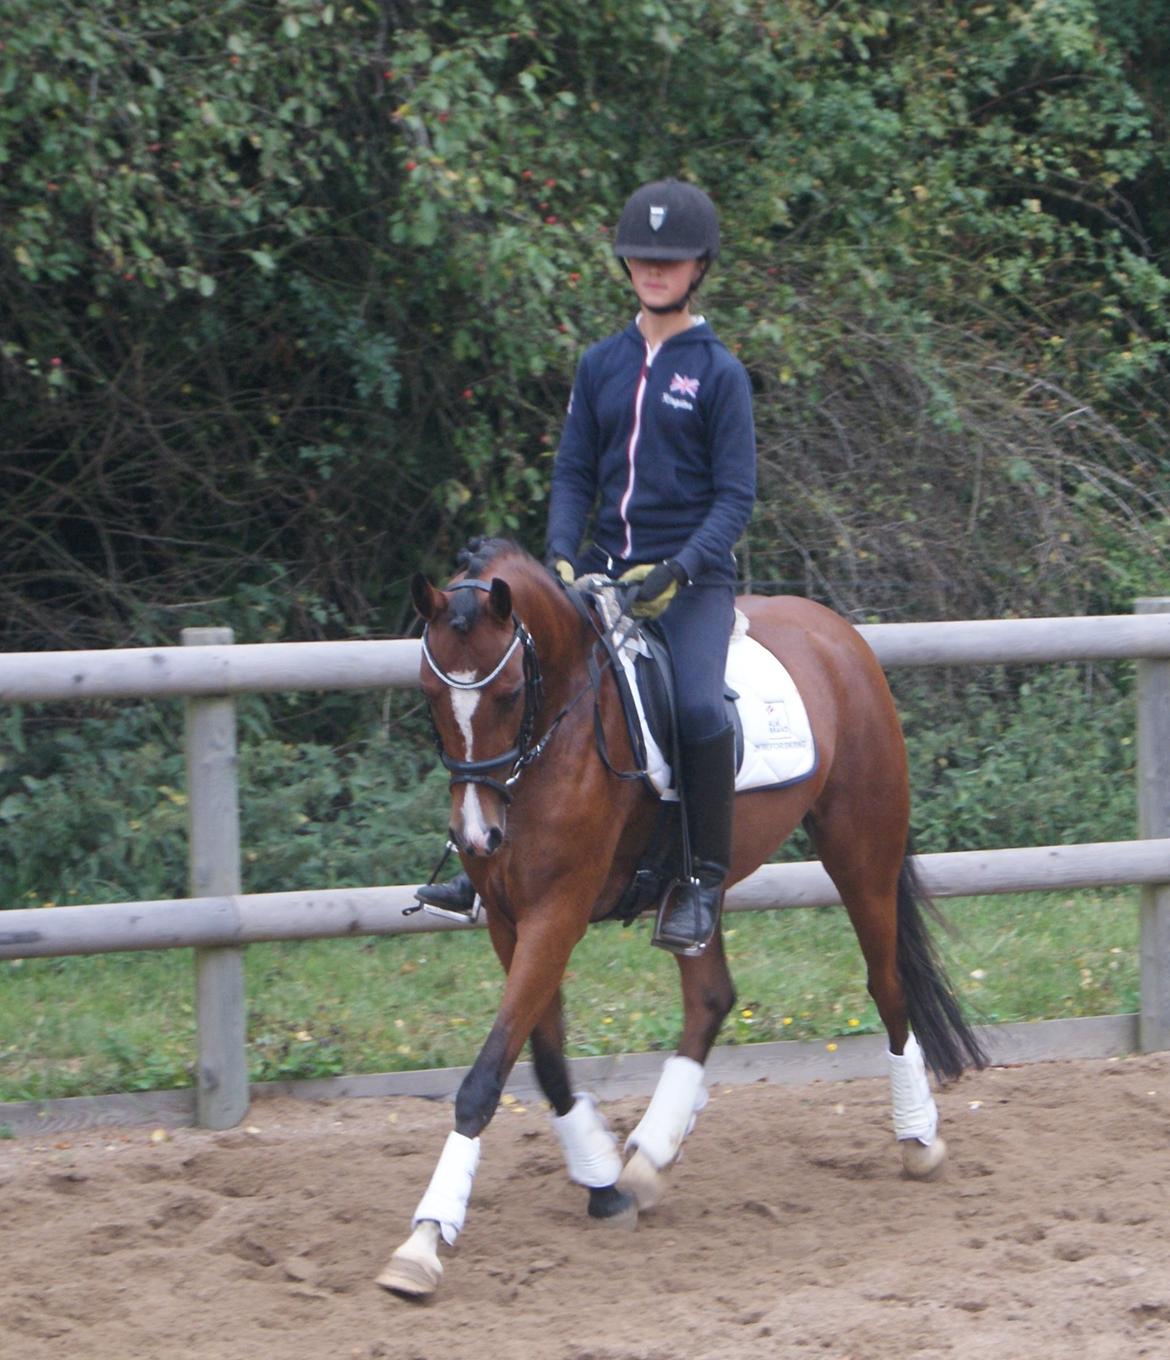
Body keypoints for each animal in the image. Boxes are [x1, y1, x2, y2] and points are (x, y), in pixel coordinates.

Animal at [378, 535, 984, 1289]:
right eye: (431, 694)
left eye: (511, 691)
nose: (477, 835)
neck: (561, 729)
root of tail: (839, 634)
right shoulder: (509, 920)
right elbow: (543, 1058)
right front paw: (603, 1182)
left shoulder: (557, 913)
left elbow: (486, 1077)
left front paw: (425, 1239)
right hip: (697, 886)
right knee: (711, 997)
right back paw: (650, 1156)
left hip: (860, 851)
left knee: (887, 984)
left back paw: (918, 1136)